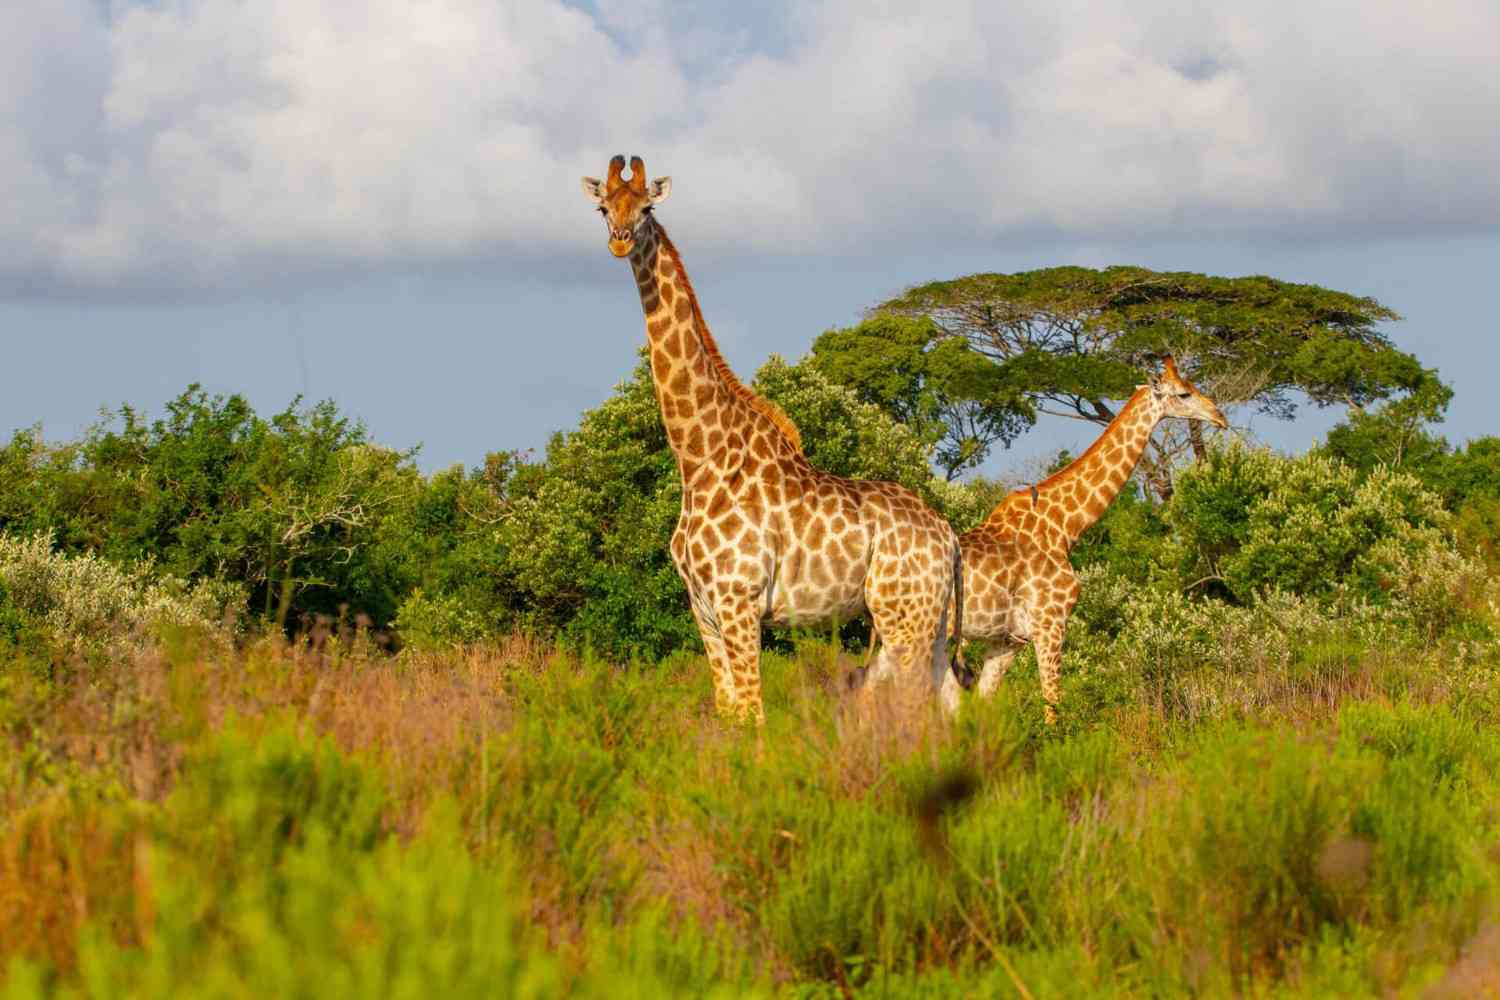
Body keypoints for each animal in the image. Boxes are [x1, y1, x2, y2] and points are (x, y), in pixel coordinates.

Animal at [579, 154, 966, 719]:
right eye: (604, 207)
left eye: (647, 207)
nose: (621, 240)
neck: (698, 457)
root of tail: (950, 536)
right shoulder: (703, 609)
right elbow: (729, 712)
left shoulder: (739, 602)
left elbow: (754, 714)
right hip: (929, 620)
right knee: (955, 702)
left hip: (903, 617)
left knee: (918, 709)